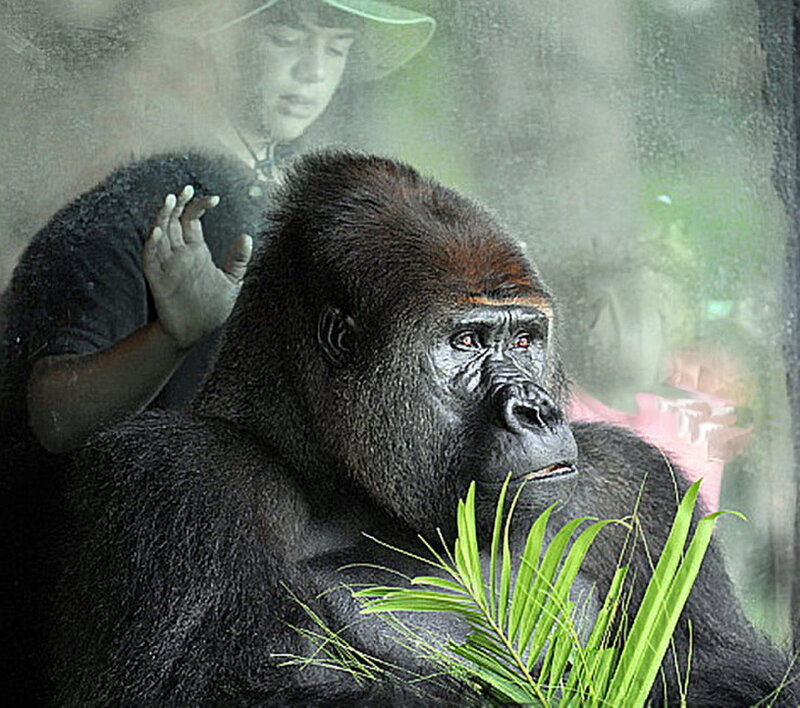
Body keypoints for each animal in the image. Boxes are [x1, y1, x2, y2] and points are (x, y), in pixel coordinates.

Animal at [50, 151, 797, 705]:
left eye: (525, 339)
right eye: (466, 342)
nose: (538, 410)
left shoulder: (635, 483)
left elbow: (736, 672)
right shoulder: (184, 479)